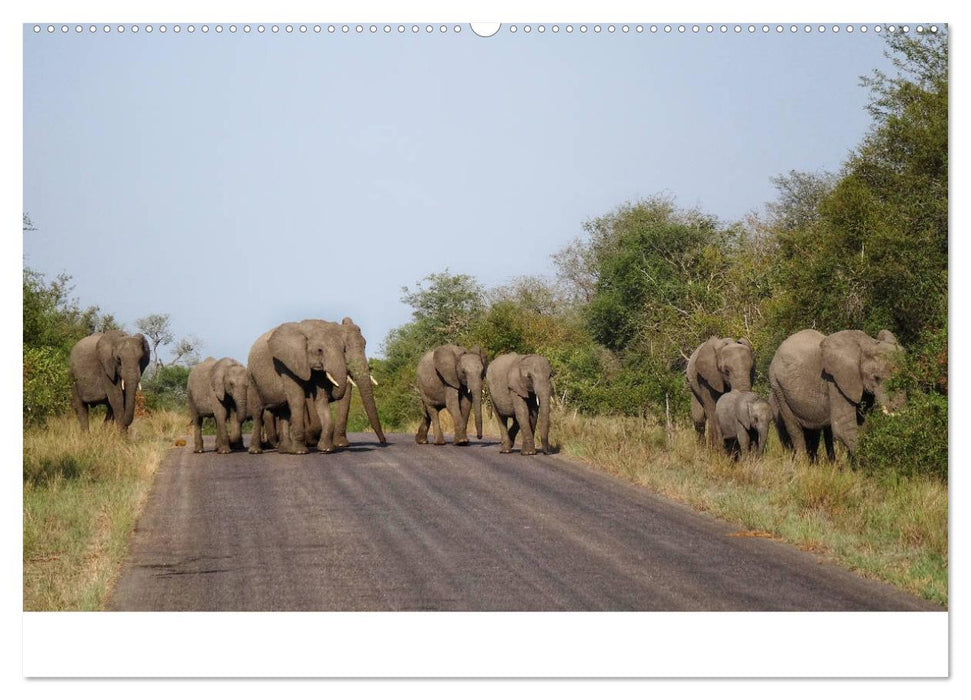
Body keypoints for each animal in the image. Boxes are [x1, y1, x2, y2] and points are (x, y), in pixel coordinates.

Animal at [245, 318, 386, 454]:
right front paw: (301, 451)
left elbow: (321, 399)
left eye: (342, 349)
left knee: (284, 411)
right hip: (252, 379)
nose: (383, 442)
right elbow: (298, 399)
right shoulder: (286, 364)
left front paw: (325, 449)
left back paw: (285, 450)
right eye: (319, 350)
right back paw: (257, 451)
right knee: (258, 413)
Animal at [772, 328, 908, 460]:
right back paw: (802, 463)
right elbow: (843, 427)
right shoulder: (835, 381)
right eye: (876, 378)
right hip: (778, 388)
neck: (867, 345)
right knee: (795, 428)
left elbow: (863, 424)